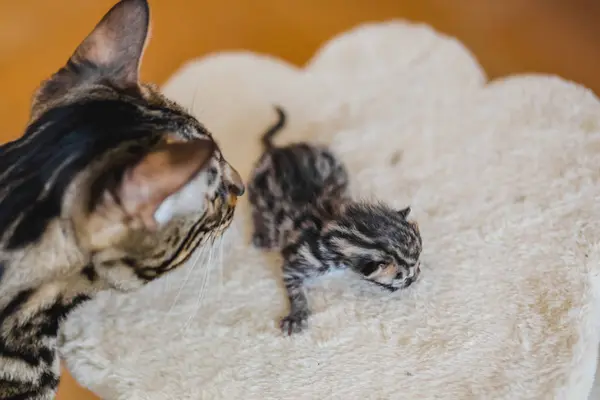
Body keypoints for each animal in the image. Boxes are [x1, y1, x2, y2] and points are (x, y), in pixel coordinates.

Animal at [245, 108, 422, 336]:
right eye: (403, 277)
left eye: (418, 264)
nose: (417, 277)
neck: (338, 224)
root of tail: (278, 151)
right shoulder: (294, 262)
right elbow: (295, 289)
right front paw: (297, 314)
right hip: (255, 190)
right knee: (256, 211)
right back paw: (262, 235)